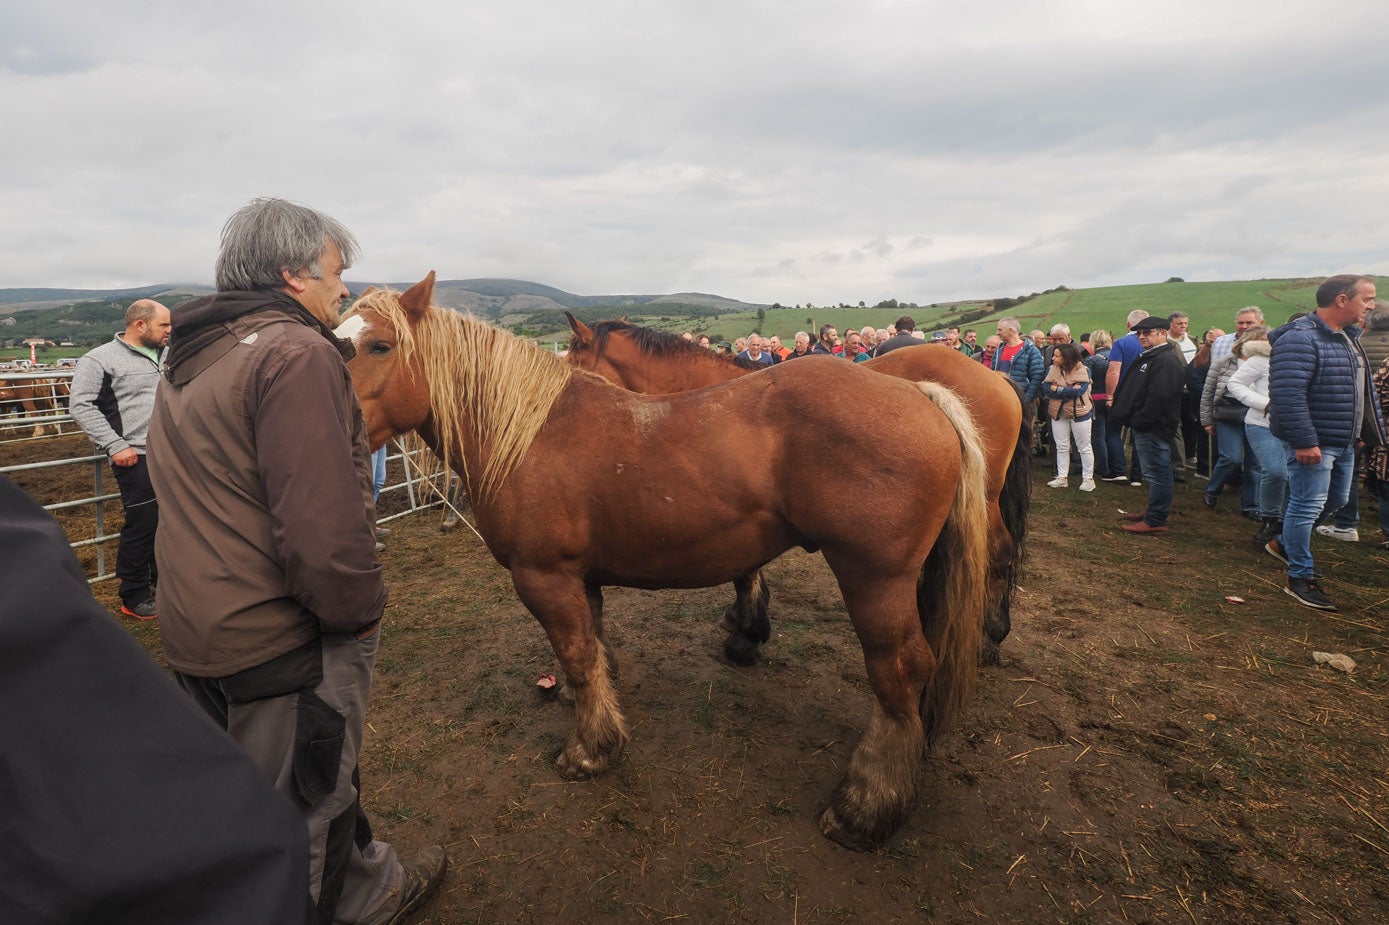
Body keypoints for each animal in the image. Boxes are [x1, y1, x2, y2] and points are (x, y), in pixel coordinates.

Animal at [561, 313, 1033, 658]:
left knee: (997, 551)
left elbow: (746, 574)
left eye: (571, 366)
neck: (711, 397)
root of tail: (996, 377)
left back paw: (991, 632)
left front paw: (748, 632)